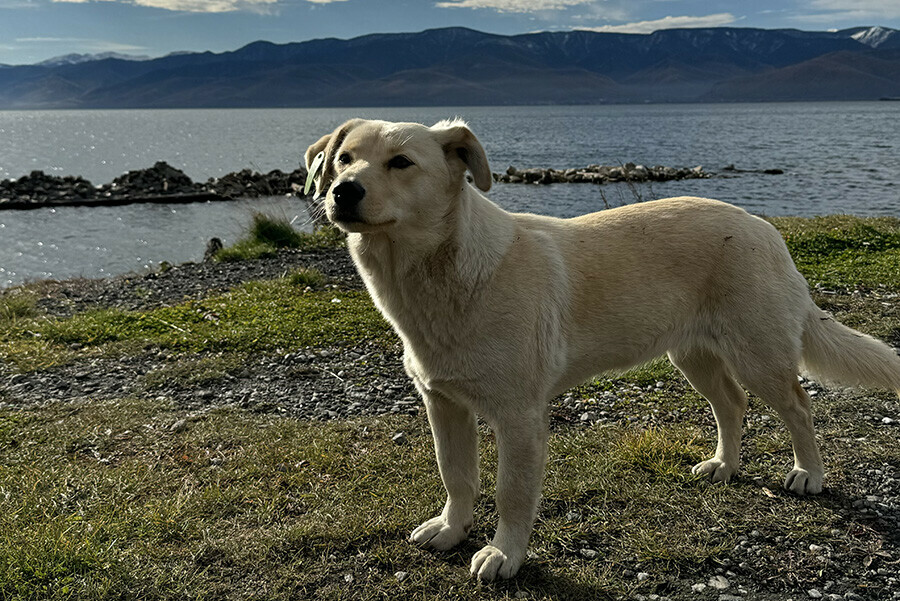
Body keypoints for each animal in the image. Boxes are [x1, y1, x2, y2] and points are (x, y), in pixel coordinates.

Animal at [304, 118, 900, 580]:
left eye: (401, 163)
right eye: (344, 159)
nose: (342, 191)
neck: (435, 276)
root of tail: (762, 225)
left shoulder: (518, 417)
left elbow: (511, 493)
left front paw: (503, 554)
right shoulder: (442, 403)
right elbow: (456, 474)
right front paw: (452, 530)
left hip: (759, 354)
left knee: (798, 406)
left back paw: (809, 474)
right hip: (693, 355)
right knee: (732, 404)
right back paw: (724, 466)